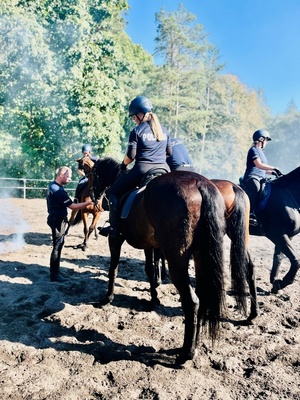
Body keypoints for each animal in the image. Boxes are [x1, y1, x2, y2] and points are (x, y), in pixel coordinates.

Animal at [92, 158, 255, 364]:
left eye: (93, 174)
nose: (94, 197)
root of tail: (201, 184)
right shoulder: (149, 244)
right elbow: (149, 269)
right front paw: (154, 298)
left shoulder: (115, 239)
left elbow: (114, 268)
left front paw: (108, 298)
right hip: (207, 253)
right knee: (217, 287)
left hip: (177, 259)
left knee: (191, 301)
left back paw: (187, 353)